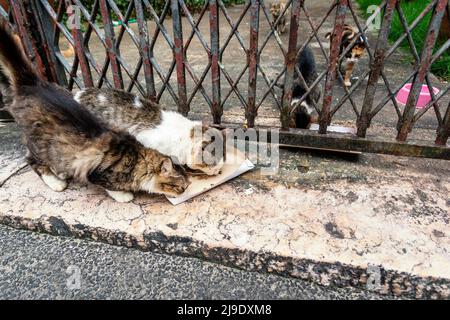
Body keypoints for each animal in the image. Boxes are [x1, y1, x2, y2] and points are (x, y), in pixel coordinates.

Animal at [0, 21, 188, 202]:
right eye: (181, 187)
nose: (185, 192)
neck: (137, 158)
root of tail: (31, 84)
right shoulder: (95, 173)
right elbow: (110, 187)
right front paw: (124, 195)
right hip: (39, 144)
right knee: (31, 160)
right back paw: (56, 182)